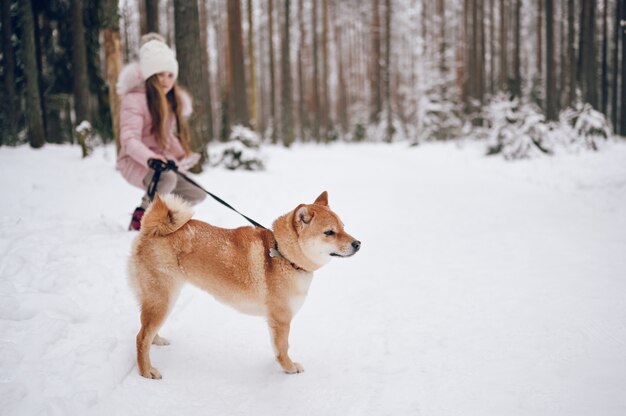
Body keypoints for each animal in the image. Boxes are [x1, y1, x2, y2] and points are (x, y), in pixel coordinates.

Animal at [129, 190, 358, 378]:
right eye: (329, 232)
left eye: (343, 227)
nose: (358, 243)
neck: (283, 254)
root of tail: (151, 229)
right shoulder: (281, 319)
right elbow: (284, 347)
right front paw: (289, 368)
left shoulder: (274, 321)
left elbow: (277, 347)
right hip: (163, 298)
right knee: (141, 337)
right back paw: (146, 370)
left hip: (163, 299)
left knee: (147, 330)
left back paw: (157, 340)